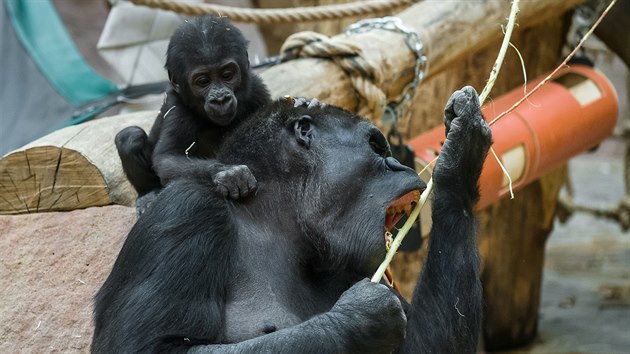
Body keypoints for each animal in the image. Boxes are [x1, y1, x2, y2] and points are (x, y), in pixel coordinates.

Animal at [92, 86, 494, 354]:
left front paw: (460, 156)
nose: (399, 164)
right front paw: (359, 319)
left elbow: (423, 348)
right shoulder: (184, 213)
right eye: (376, 147)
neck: (277, 221)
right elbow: (146, 348)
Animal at [115, 14, 272, 210]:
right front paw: (226, 172)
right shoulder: (177, 108)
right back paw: (148, 194)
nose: (220, 99)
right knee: (130, 138)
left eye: (227, 75)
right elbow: (168, 157)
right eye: (203, 81)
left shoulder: (258, 91)